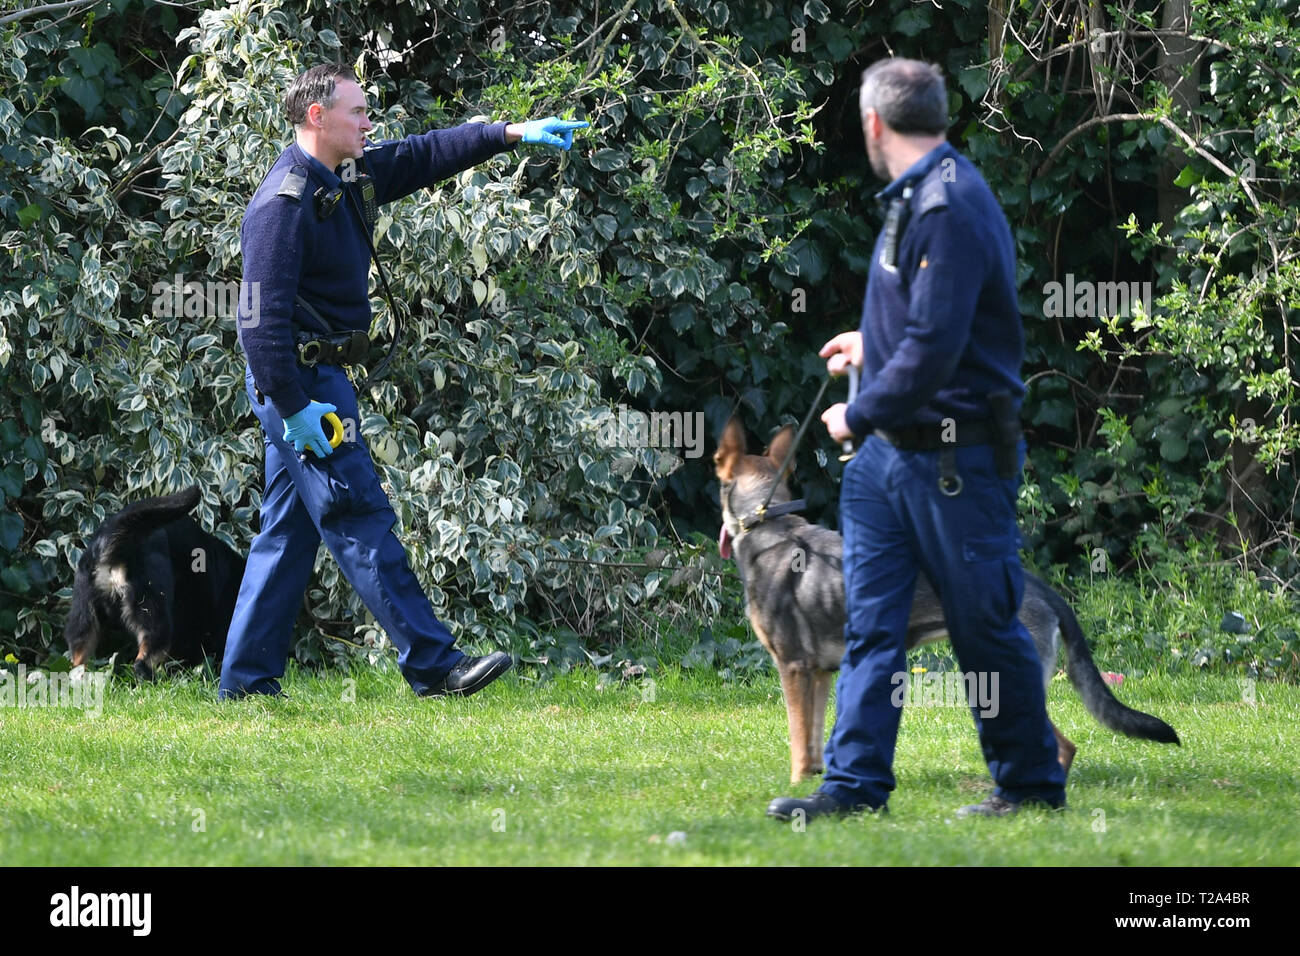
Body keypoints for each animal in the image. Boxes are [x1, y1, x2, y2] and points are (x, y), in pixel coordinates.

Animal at [712, 418, 1180, 785]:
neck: (765, 526)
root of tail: (1042, 588)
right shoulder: (820, 673)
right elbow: (811, 740)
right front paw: (812, 779)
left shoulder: (792, 667)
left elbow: (797, 739)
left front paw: (795, 787)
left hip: (997, 682)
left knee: (1061, 746)